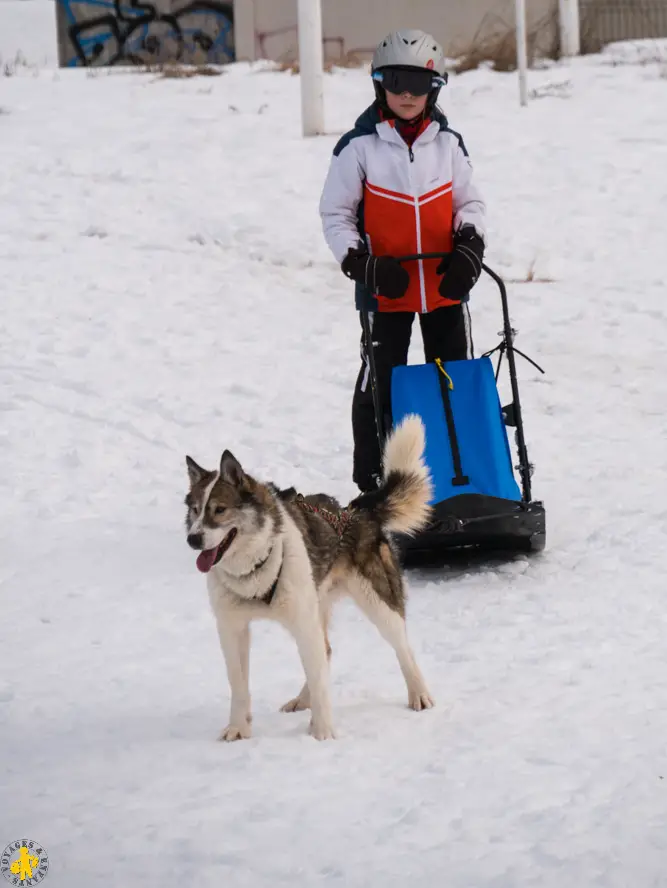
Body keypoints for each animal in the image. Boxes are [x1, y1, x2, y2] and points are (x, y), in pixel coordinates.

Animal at [184, 416, 434, 744]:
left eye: (219, 510)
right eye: (195, 510)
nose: (193, 539)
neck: (254, 571)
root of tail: (356, 511)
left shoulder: (302, 621)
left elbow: (319, 680)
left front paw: (323, 732)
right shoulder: (232, 628)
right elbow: (238, 684)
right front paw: (238, 727)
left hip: (377, 604)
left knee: (402, 648)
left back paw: (419, 693)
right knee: (324, 651)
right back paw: (303, 701)